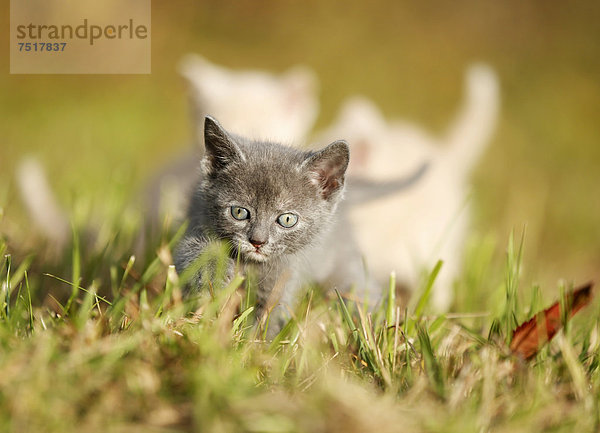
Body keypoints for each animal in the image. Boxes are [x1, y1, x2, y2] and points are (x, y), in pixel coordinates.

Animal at [175, 115, 380, 334]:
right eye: (239, 212)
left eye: (287, 219)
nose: (257, 241)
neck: (250, 264)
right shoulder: (196, 219)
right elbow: (188, 251)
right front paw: (212, 273)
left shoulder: (284, 276)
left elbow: (268, 315)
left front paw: (255, 339)